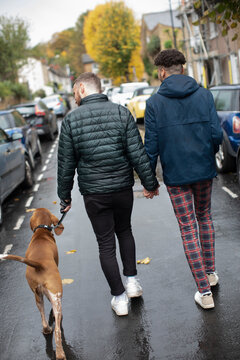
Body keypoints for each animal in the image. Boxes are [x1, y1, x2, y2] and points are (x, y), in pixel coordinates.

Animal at [0, 208, 65, 360]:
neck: (41, 232)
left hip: (37, 296)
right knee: (57, 330)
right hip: (56, 295)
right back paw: (60, 354)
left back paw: (46, 330)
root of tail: (39, 264)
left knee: (44, 320)